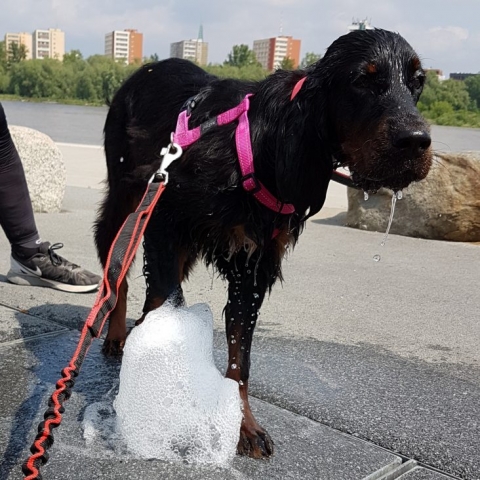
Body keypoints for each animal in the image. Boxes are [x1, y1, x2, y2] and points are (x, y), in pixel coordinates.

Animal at [94, 29, 432, 458]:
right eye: (362, 79)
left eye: (418, 81)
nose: (416, 142)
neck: (266, 143)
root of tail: (142, 71)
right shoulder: (164, 216)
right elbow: (168, 304)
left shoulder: (253, 268)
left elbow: (241, 358)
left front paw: (243, 425)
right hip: (126, 202)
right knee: (116, 273)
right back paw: (117, 336)